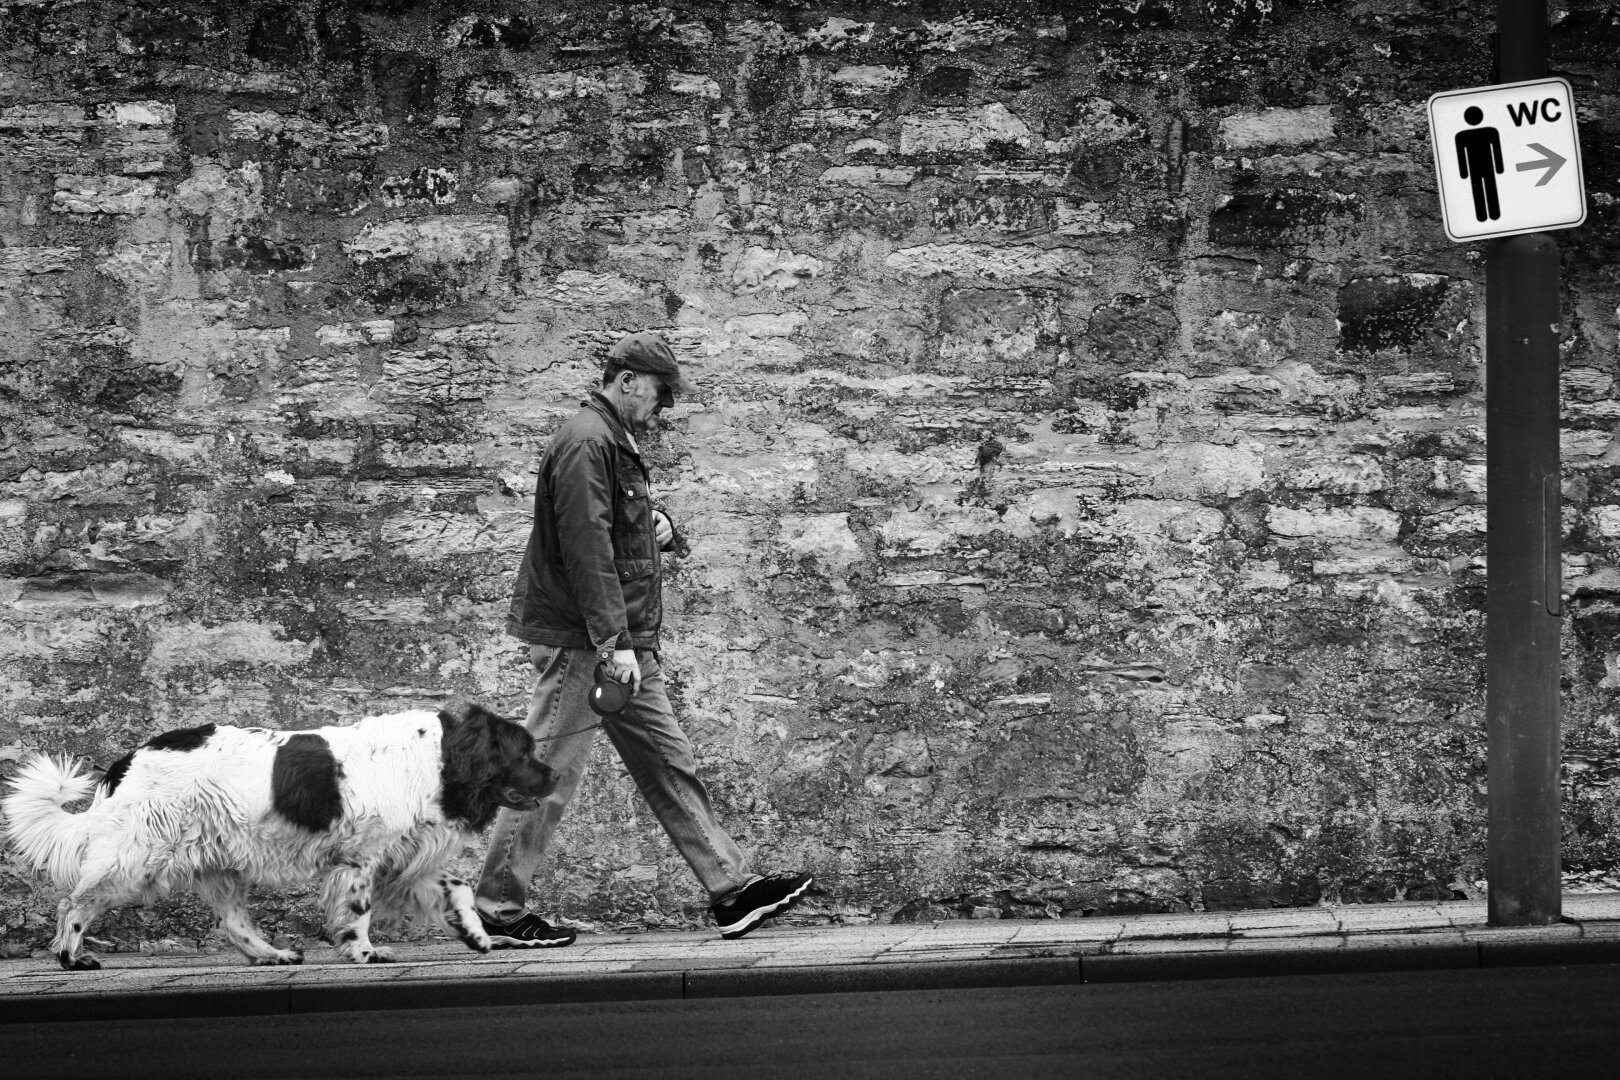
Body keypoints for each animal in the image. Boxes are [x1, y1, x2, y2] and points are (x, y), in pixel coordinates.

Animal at [0, 702, 554, 971]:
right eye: (524, 753)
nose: (556, 776)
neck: (439, 760)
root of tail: (126, 760)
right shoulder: (362, 858)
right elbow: (357, 913)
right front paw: (364, 953)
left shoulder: (403, 857)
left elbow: (456, 889)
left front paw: (478, 935)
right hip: (138, 856)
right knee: (74, 903)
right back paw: (70, 957)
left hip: (217, 861)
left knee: (234, 923)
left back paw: (272, 955)